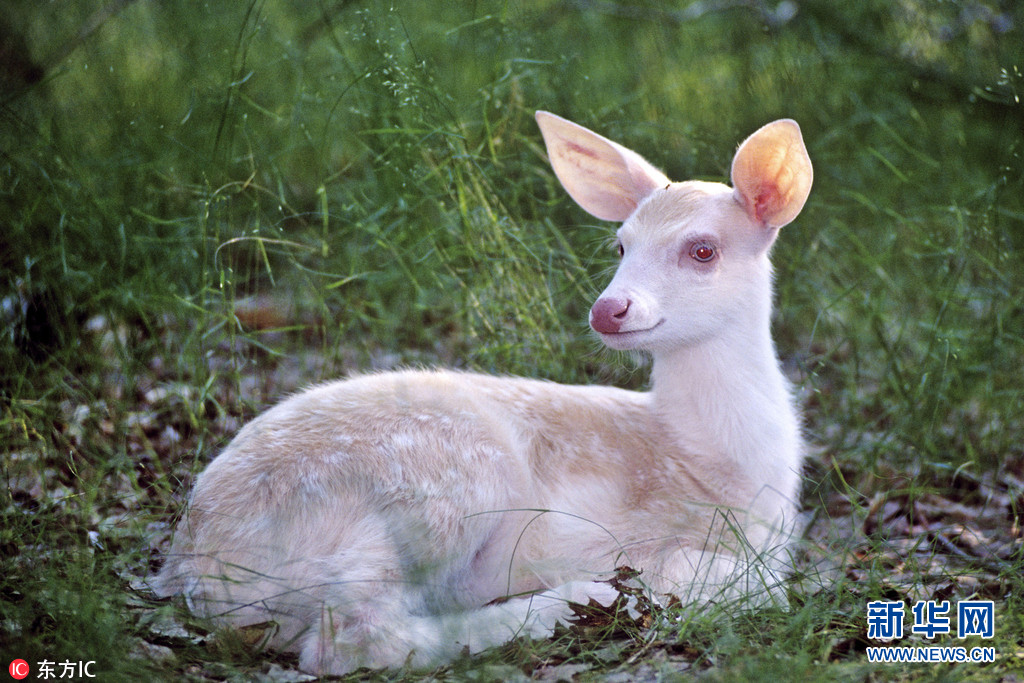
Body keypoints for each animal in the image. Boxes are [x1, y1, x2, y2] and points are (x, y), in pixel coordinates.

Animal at [151, 112, 811, 671]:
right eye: (620, 245)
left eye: (703, 250)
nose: (609, 309)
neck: (707, 459)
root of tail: (195, 569)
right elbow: (751, 584)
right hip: (437, 483)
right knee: (352, 638)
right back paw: (578, 602)